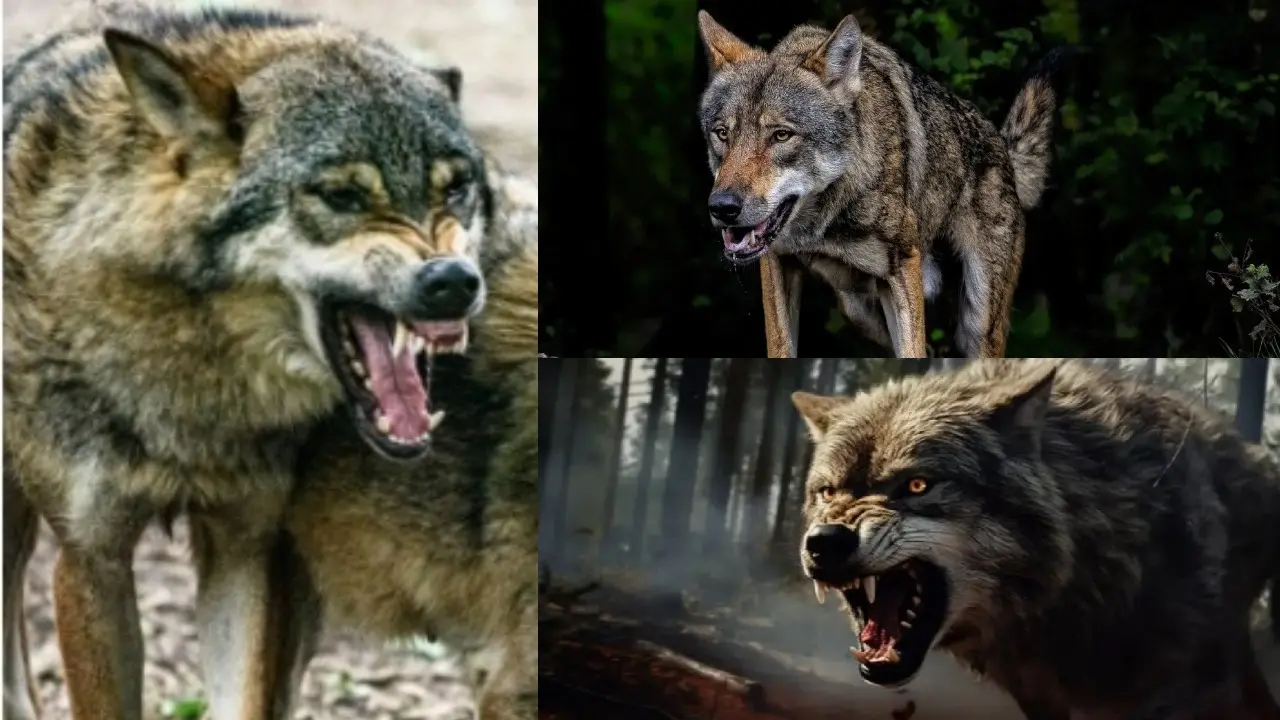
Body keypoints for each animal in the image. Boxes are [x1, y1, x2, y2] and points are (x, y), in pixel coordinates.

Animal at [696, 12, 1064, 359]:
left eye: (782, 135)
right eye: (722, 133)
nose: (722, 208)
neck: (826, 221)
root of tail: (1002, 146)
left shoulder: (903, 269)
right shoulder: (777, 266)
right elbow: (781, 348)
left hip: (978, 325)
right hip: (860, 311)